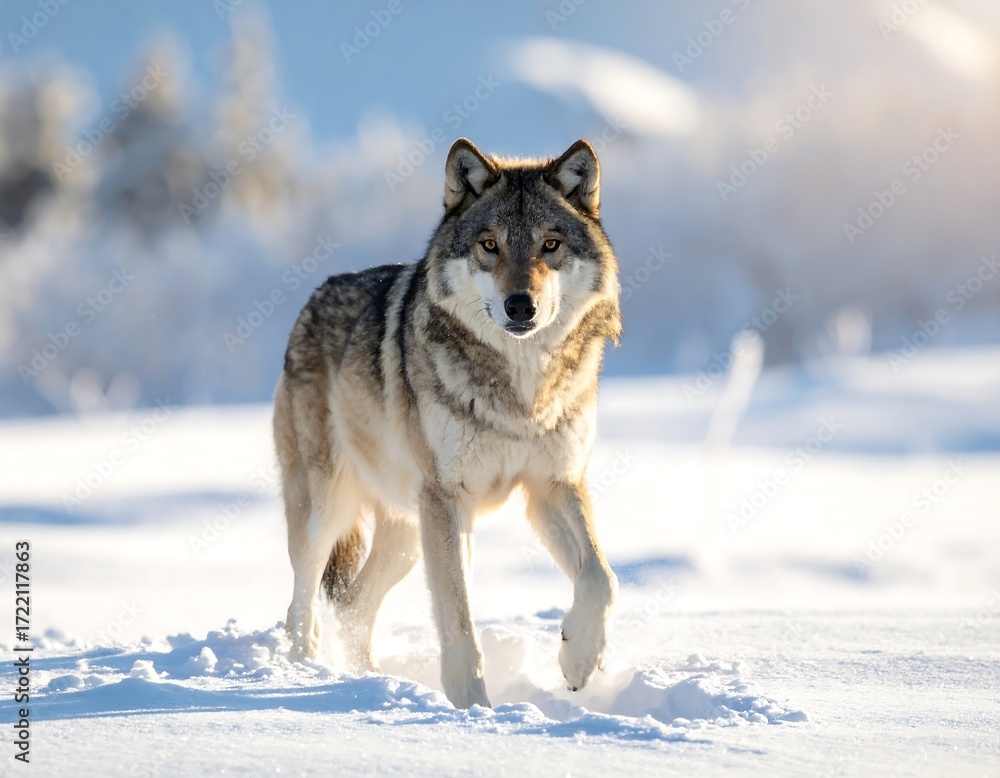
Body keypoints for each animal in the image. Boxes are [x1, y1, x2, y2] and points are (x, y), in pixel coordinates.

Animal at [274, 137, 622, 709]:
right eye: (489, 245)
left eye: (550, 245)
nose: (520, 305)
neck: (521, 392)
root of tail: (314, 296)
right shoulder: (448, 500)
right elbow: (459, 619)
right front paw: (473, 707)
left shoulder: (554, 485)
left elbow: (602, 578)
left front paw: (578, 659)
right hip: (328, 510)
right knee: (301, 604)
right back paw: (306, 672)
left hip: (409, 536)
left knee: (353, 606)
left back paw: (372, 681)